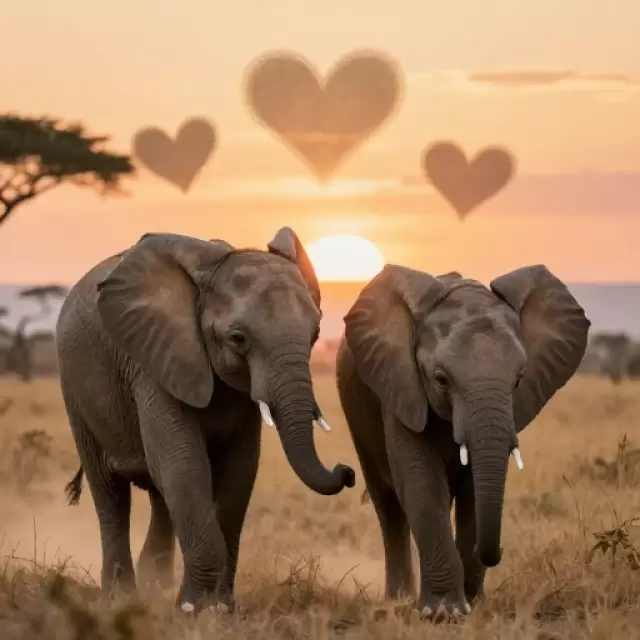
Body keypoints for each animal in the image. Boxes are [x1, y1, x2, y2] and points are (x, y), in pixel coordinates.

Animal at [56, 228, 356, 614]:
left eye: (315, 335)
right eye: (238, 339)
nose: (347, 472)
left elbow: (239, 470)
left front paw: (220, 608)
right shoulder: (155, 361)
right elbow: (184, 463)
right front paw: (196, 611)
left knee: (160, 495)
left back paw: (155, 588)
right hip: (75, 387)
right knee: (110, 494)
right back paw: (120, 599)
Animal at [336, 264, 590, 619]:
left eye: (518, 380)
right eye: (441, 380)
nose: (498, 550)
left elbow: (473, 492)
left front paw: (474, 605)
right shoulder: (401, 387)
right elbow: (422, 483)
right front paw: (444, 613)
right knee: (388, 506)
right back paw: (398, 599)